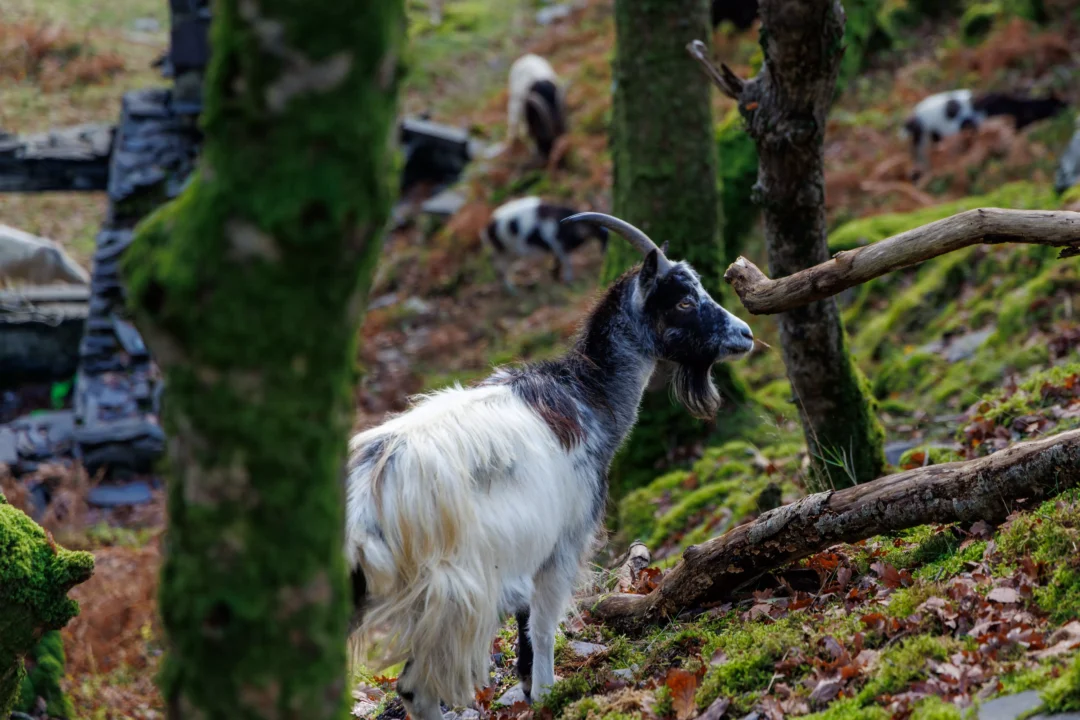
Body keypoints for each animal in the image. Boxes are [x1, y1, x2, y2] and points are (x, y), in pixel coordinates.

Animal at [345, 213, 754, 720]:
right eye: (682, 300)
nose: (745, 334)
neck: (586, 396)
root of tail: (372, 486)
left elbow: (526, 621)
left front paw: (527, 684)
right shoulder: (563, 540)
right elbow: (542, 624)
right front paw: (546, 693)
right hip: (452, 592)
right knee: (416, 687)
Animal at [480, 196, 608, 293]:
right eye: (604, 238)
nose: (605, 253)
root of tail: (488, 228)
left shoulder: (558, 248)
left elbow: (558, 263)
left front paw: (556, 277)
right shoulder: (558, 245)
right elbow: (566, 262)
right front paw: (567, 281)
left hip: (510, 253)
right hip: (503, 252)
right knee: (501, 270)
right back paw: (513, 290)